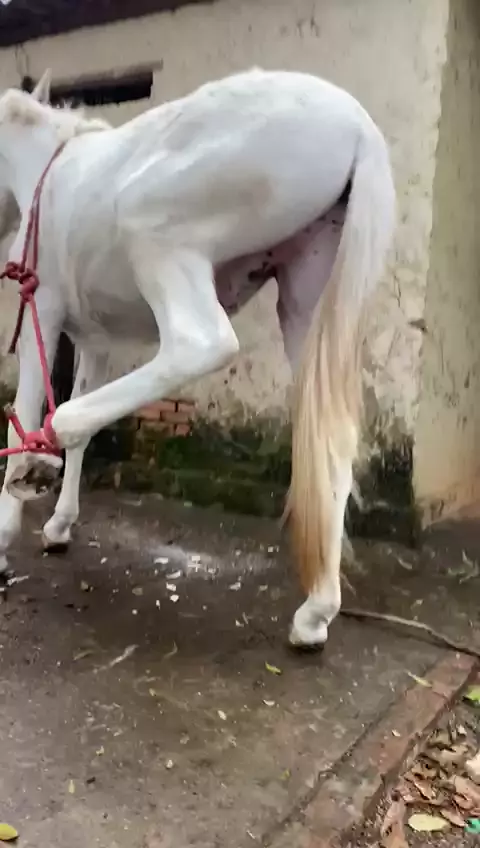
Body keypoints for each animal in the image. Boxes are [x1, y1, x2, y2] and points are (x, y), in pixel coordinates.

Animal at [0, 68, 395, 647]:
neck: (47, 171)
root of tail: (360, 127)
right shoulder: (96, 339)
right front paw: (59, 525)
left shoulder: (42, 310)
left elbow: (26, 410)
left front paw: (8, 528)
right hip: (306, 302)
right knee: (331, 445)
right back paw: (316, 613)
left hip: (158, 237)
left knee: (199, 343)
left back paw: (51, 439)